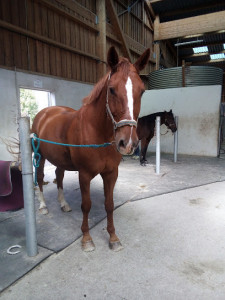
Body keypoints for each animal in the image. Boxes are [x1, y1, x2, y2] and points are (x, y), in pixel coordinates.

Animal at [31, 47, 150, 252]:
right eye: (112, 89)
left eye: (142, 92)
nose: (127, 143)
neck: (97, 132)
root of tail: (44, 113)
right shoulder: (84, 174)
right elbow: (86, 205)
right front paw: (86, 239)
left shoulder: (111, 173)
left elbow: (109, 204)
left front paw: (113, 238)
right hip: (39, 156)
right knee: (39, 178)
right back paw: (43, 206)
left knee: (59, 175)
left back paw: (63, 204)